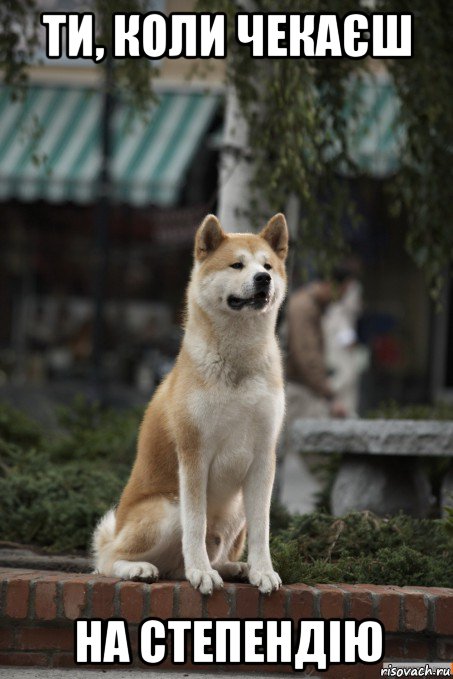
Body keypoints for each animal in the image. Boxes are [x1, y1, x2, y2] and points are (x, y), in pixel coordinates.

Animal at [93, 214, 288, 596]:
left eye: (268, 265)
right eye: (237, 265)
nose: (264, 279)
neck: (238, 364)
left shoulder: (263, 457)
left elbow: (263, 529)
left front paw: (263, 571)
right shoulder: (194, 453)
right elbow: (195, 526)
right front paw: (201, 573)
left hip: (236, 509)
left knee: (203, 558)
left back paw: (235, 568)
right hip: (167, 508)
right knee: (107, 560)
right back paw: (142, 568)